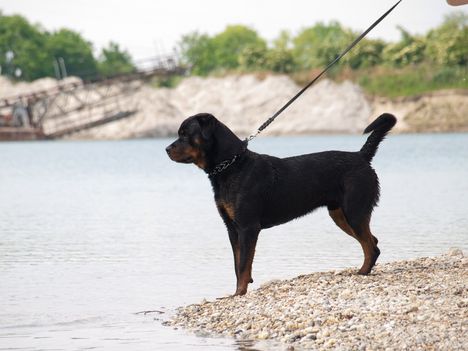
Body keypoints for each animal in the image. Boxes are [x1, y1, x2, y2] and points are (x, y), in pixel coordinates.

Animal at [166, 113, 396, 296]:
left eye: (185, 134)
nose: (167, 148)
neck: (232, 166)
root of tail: (361, 156)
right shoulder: (232, 228)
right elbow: (237, 263)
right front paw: (238, 290)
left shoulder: (248, 227)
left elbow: (243, 264)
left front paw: (239, 293)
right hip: (340, 215)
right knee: (372, 242)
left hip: (354, 211)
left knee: (371, 246)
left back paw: (362, 272)